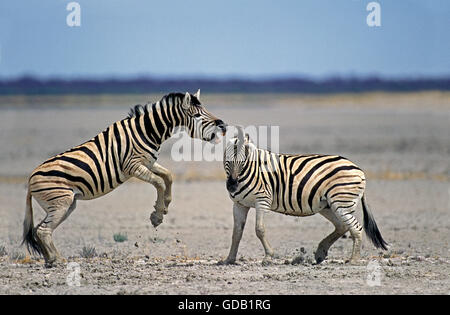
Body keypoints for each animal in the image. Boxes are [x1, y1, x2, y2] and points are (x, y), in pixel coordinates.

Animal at [22, 89, 227, 266]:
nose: (223, 126)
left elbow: (168, 176)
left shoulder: (148, 162)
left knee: (39, 230)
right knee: (44, 230)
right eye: (197, 116)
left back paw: (49, 259)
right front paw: (157, 215)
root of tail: (30, 180)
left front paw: (165, 205)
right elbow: (159, 182)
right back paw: (57, 260)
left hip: (63, 205)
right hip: (60, 202)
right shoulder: (133, 166)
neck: (147, 131)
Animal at [221, 127, 386, 266]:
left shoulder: (262, 200)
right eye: (226, 158)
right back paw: (320, 253)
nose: (232, 186)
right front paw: (229, 259)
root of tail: (359, 169)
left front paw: (268, 257)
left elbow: (259, 229)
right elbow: (236, 233)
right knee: (343, 226)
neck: (250, 170)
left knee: (356, 228)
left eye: (244, 159)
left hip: (341, 201)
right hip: (328, 205)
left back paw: (353, 260)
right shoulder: (239, 204)